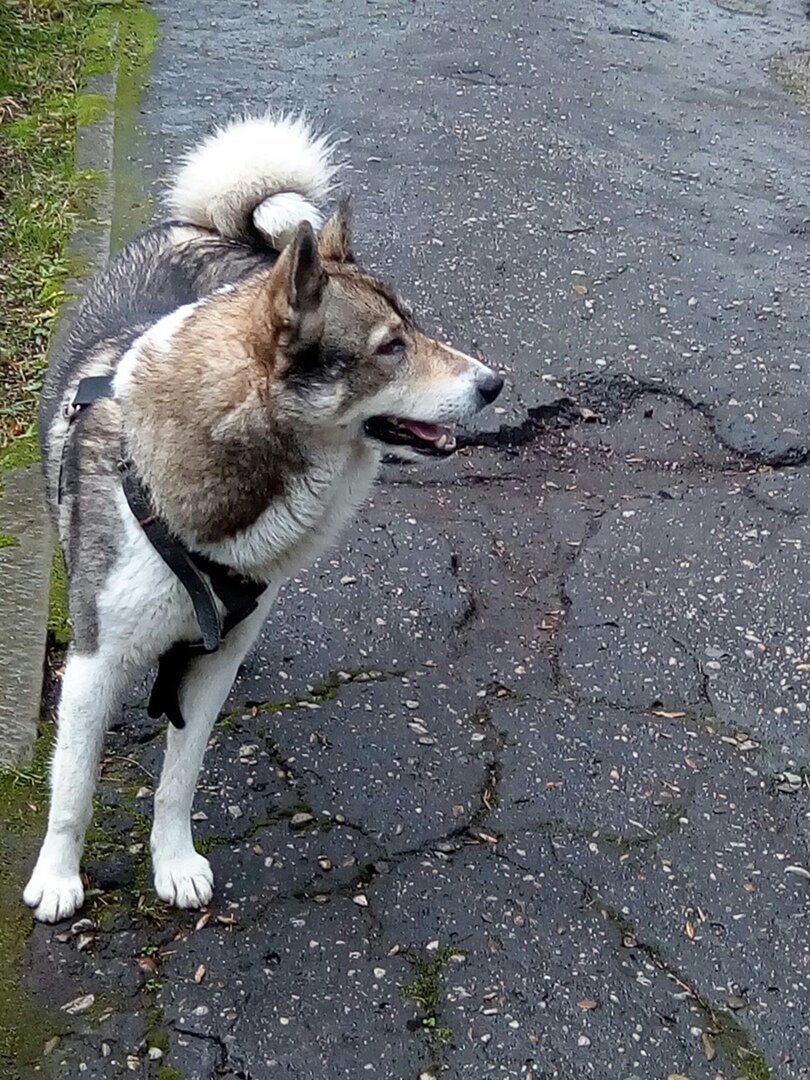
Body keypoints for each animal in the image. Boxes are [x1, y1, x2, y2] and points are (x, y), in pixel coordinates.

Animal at [25, 111, 505, 920]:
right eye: (391, 346)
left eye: (414, 328)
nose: (495, 384)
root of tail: (215, 229)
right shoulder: (92, 666)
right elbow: (73, 789)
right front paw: (59, 877)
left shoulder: (211, 668)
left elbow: (179, 778)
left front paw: (173, 860)